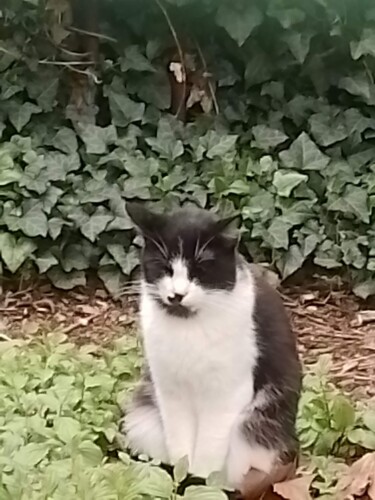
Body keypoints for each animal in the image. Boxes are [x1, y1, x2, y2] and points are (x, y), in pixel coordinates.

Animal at [121, 204, 302, 496]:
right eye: (164, 267)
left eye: (200, 268)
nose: (177, 295)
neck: (189, 327)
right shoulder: (169, 390)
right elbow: (180, 446)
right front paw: (179, 480)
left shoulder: (226, 396)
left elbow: (209, 451)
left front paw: (198, 484)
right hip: (143, 414)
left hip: (253, 432)